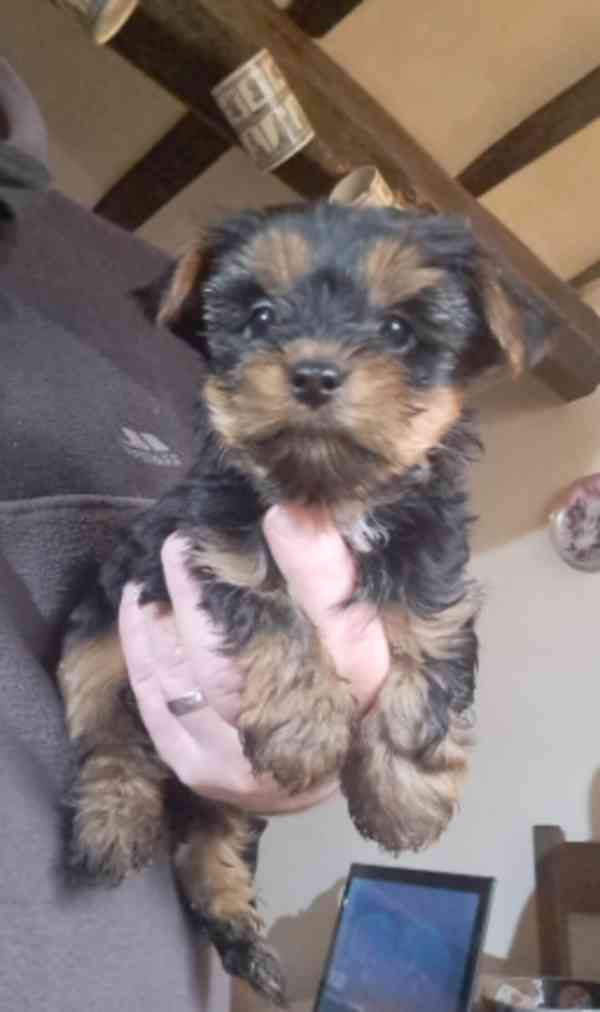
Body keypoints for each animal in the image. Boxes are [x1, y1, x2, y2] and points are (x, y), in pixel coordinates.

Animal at [58, 201, 550, 1005]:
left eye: (398, 329)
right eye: (260, 315)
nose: (315, 373)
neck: (332, 498)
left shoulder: (430, 559)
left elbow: (430, 640)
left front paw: (405, 790)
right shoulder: (206, 548)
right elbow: (269, 607)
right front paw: (308, 724)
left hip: (229, 801)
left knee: (209, 845)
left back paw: (243, 935)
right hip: (99, 641)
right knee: (112, 735)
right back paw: (114, 819)